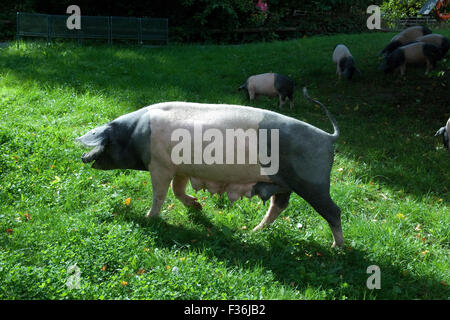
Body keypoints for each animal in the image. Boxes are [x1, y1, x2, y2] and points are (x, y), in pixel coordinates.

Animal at [76, 89, 344, 249]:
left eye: (104, 142)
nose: (82, 156)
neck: (135, 135)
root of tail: (328, 137)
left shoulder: (161, 165)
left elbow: (160, 193)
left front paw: (148, 218)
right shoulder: (181, 168)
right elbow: (177, 190)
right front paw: (197, 206)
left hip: (313, 183)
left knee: (333, 211)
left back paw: (336, 248)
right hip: (284, 183)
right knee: (279, 205)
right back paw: (254, 231)